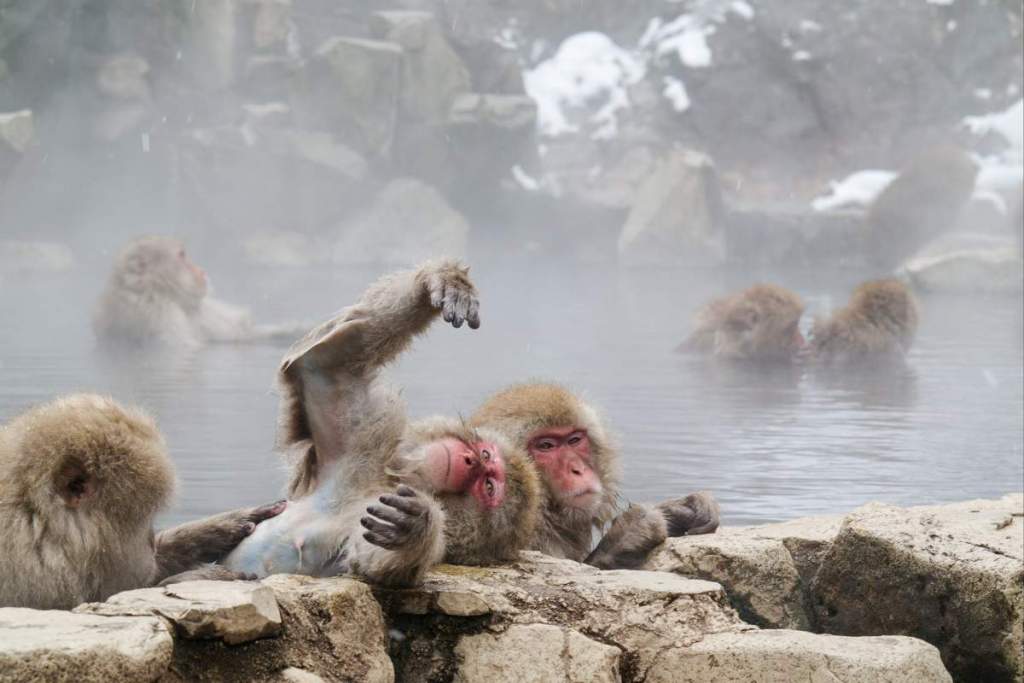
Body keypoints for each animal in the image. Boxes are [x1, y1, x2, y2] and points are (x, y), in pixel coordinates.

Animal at [223, 260, 541, 587]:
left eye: (488, 486)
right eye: (486, 455)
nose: (469, 460)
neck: (391, 480)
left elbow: (372, 564)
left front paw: (417, 527)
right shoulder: (365, 446)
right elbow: (323, 364)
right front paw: (444, 282)